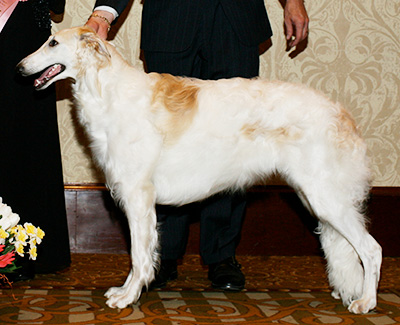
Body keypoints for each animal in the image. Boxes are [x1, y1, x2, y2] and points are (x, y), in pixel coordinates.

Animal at [18, 27, 382, 312]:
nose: (20, 68)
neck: (107, 89)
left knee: (371, 249)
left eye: (52, 42)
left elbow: (138, 255)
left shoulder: (138, 195)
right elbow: (144, 255)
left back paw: (366, 302)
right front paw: (126, 291)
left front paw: (127, 297)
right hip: (317, 198)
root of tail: (342, 114)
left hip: (325, 197)